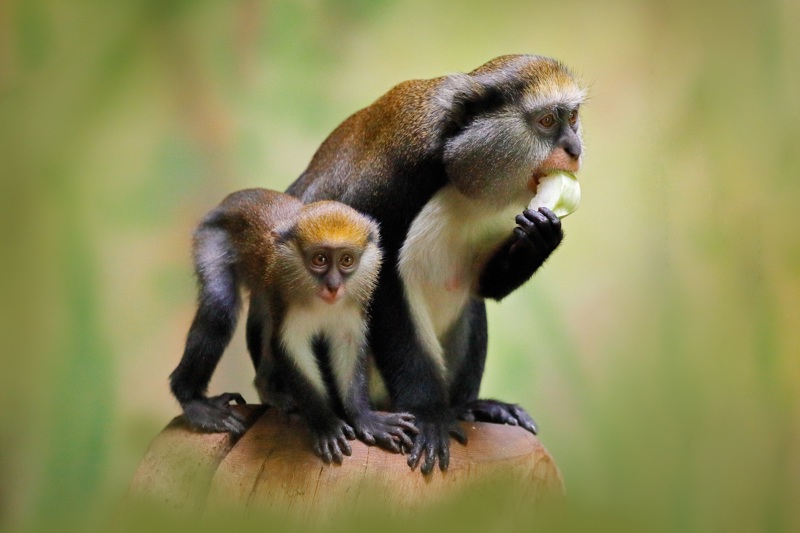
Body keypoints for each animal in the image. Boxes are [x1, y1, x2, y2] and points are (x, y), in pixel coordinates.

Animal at [169, 188, 417, 464]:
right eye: (319, 259)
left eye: (346, 260)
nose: (333, 286)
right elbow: (291, 349)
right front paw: (326, 425)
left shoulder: (351, 312)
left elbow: (349, 348)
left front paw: (365, 418)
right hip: (211, 239)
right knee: (218, 307)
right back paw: (193, 401)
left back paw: (268, 387)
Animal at [287, 55, 585, 474]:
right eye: (546, 121)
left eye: (572, 117)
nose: (575, 148)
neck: (455, 161)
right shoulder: (392, 178)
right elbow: (378, 286)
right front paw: (427, 414)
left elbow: (486, 286)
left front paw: (541, 237)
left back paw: (471, 407)